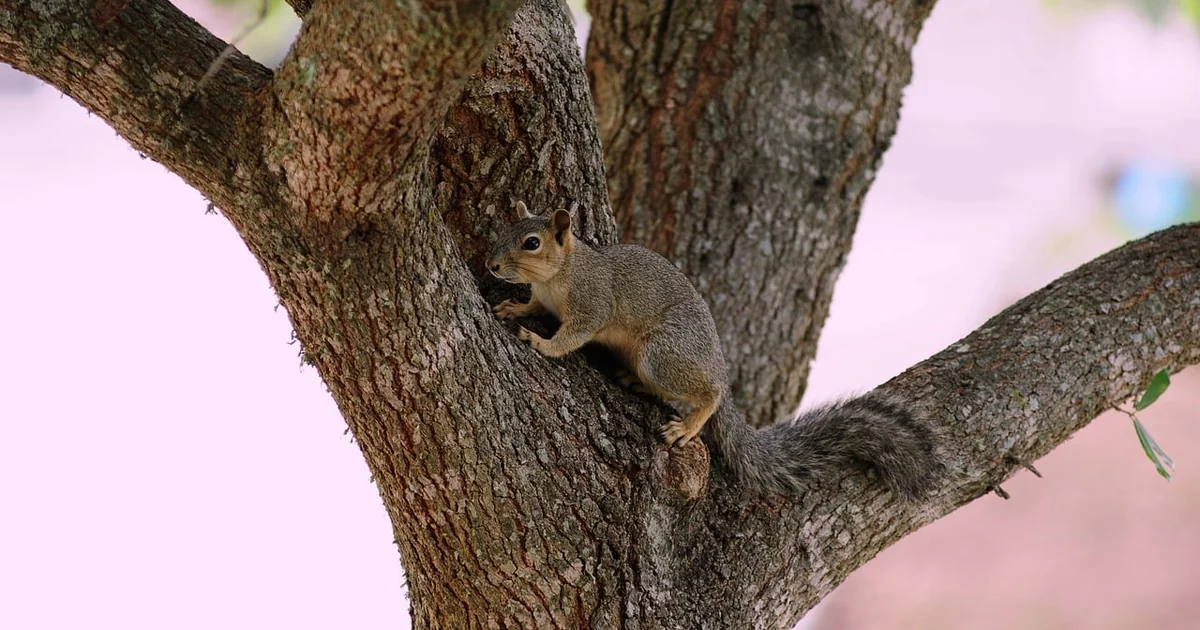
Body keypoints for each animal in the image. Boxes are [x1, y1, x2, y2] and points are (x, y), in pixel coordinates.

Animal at [486, 202, 939, 499]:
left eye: (531, 242)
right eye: (503, 232)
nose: (491, 265)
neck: (559, 273)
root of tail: (717, 364)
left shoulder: (591, 304)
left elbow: (571, 337)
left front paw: (541, 343)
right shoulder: (545, 299)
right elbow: (533, 306)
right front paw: (514, 308)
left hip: (664, 353)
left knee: (709, 393)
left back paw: (688, 424)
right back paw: (633, 380)